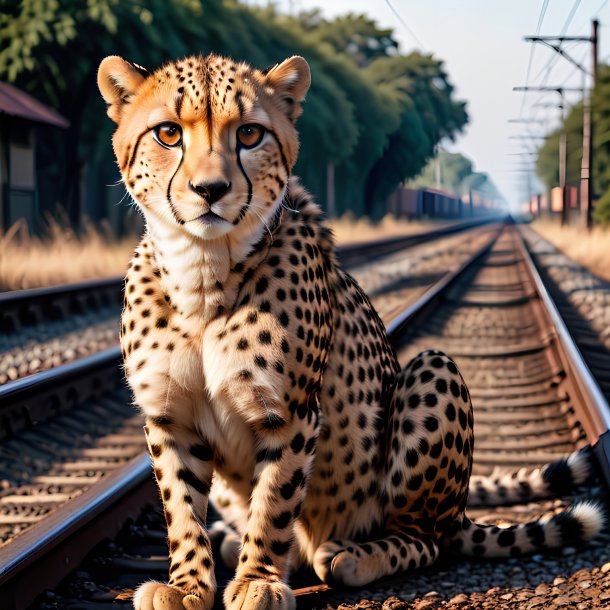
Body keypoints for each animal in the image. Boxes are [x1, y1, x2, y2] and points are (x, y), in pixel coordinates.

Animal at [97, 53, 600, 608]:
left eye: (249, 133)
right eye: (168, 133)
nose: (211, 190)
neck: (202, 273)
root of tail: (459, 513)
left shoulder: (290, 413)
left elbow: (273, 501)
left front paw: (257, 581)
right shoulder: (170, 418)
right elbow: (181, 509)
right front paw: (187, 585)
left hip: (432, 372)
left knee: (425, 538)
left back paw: (351, 554)